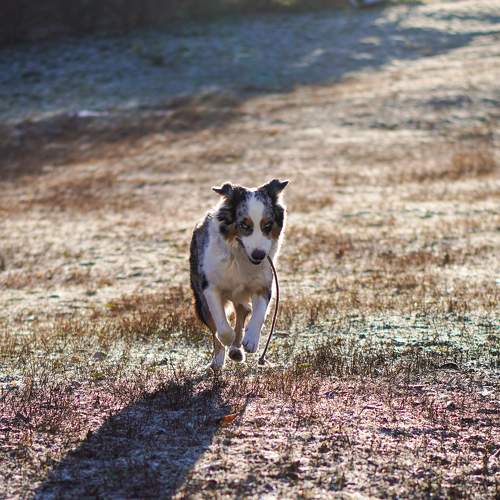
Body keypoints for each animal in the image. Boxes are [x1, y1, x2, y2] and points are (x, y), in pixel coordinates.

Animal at [189, 179, 288, 370]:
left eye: (267, 225)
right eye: (244, 225)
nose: (259, 255)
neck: (240, 256)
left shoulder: (263, 284)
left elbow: (259, 314)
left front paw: (251, 341)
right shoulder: (210, 288)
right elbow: (221, 327)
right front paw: (227, 340)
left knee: (242, 313)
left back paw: (236, 349)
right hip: (200, 301)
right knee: (215, 326)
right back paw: (219, 360)